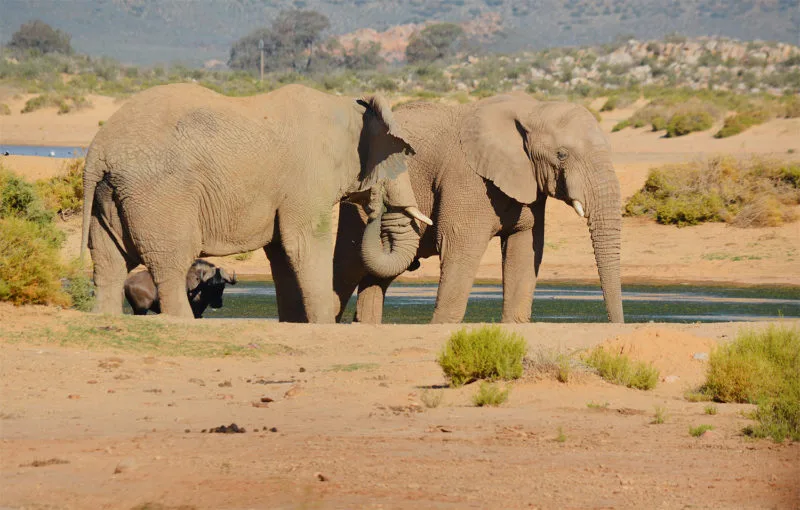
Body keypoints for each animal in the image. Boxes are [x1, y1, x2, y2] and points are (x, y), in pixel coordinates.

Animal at [81, 84, 432, 322]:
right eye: (399, 156)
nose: (374, 206)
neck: (345, 106)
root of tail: (98, 150)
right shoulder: (307, 177)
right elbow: (304, 244)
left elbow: (282, 254)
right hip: (158, 194)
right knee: (170, 265)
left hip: (109, 195)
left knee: (109, 262)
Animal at [332, 93, 624, 322]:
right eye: (562, 154)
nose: (615, 324)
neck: (530, 110)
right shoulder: (466, 177)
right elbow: (459, 246)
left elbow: (525, 250)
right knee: (347, 268)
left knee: (378, 273)